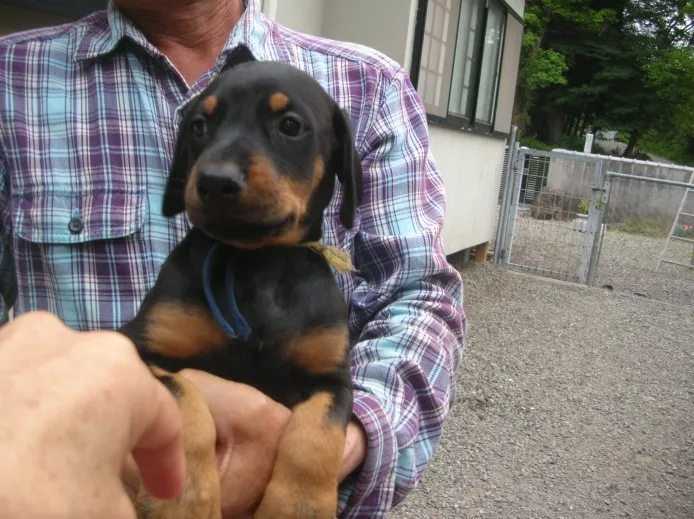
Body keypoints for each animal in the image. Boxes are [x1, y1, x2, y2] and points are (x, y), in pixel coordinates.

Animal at [118, 45, 364, 519]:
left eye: (290, 125)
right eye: (199, 126)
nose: (215, 181)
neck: (255, 262)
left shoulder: (331, 379)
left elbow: (315, 439)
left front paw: (299, 507)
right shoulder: (136, 347)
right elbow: (183, 403)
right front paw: (183, 502)